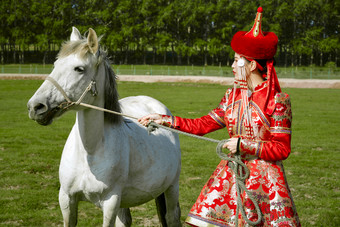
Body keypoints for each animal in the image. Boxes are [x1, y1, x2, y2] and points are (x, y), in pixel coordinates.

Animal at [26, 27, 182, 226]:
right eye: (55, 64)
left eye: (79, 69)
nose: (36, 107)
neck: (90, 152)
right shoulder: (66, 199)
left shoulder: (110, 202)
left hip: (171, 188)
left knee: (171, 216)